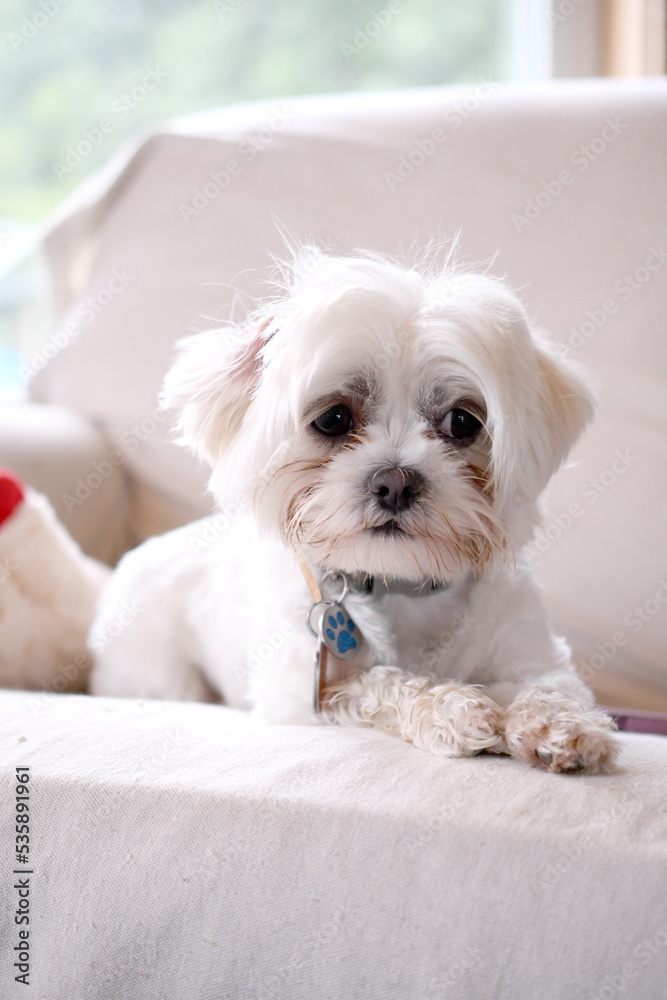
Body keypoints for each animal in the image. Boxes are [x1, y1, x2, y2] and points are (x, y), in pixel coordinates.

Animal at [90, 248, 620, 772]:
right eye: (333, 418)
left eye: (462, 422)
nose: (395, 483)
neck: (404, 587)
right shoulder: (304, 689)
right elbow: (377, 684)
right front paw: (451, 708)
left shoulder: (530, 650)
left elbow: (551, 685)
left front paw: (561, 725)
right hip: (160, 671)